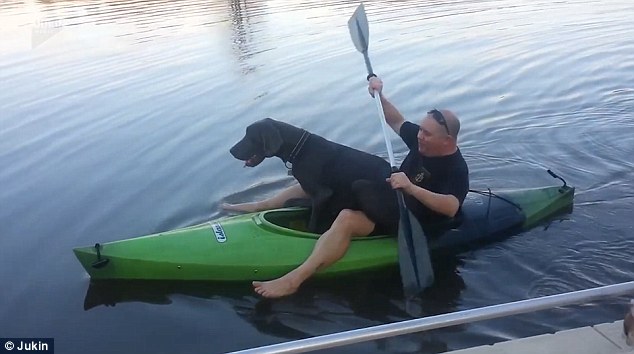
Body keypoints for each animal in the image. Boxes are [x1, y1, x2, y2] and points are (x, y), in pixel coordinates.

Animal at [230, 119, 398, 234]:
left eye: (249, 136)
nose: (231, 150)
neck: (299, 149)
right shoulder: (318, 197)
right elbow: (289, 201)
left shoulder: (323, 194)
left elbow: (312, 223)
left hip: (360, 185)